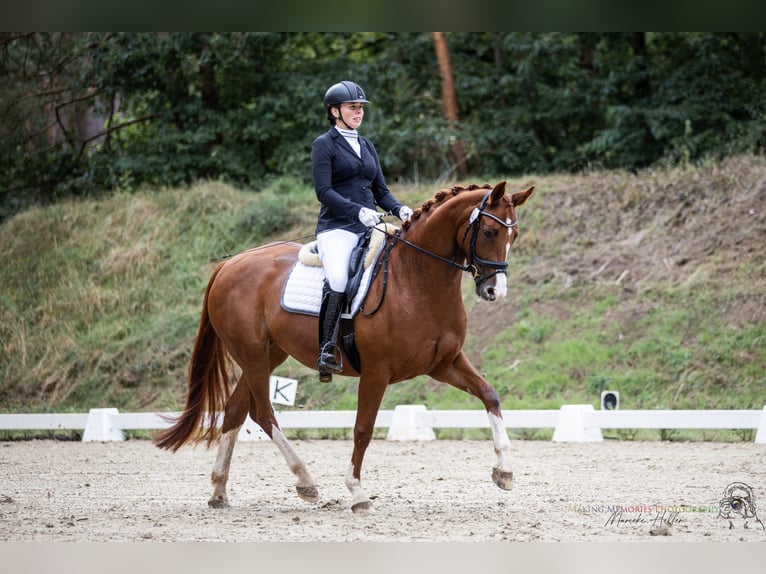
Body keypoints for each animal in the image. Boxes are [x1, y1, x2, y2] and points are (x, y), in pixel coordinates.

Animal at [154, 181, 536, 512]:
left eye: (513, 235)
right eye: (489, 233)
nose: (495, 290)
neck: (416, 279)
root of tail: (229, 264)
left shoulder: (445, 363)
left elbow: (490, 396)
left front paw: (504, 472)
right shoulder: (377, 372)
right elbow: (363, 429)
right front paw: (357, 492)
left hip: (267, 355)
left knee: (235, 411)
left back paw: (219, 491)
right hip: (252, 355)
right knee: (262, 413)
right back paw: (305, 482)